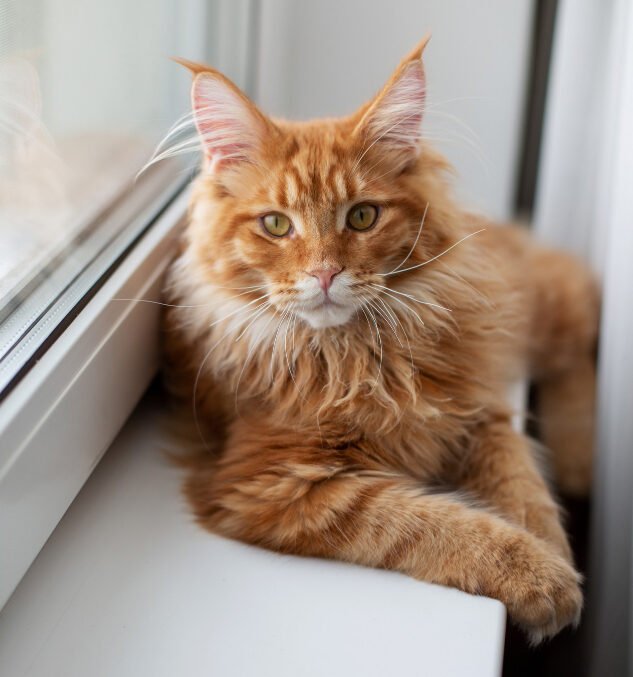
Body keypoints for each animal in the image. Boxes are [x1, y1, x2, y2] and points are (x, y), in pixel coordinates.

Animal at [162, 38, 596, 644]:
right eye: (276, 225)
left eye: (363, 216)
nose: (325, 274)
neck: (358, 354)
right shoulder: (274, 485)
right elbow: (431, 524)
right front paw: (540, 575)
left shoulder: (475, 408)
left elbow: (521, 484)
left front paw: (553, 553)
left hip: (534, 311)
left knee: (583, 301)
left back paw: (580, 461)